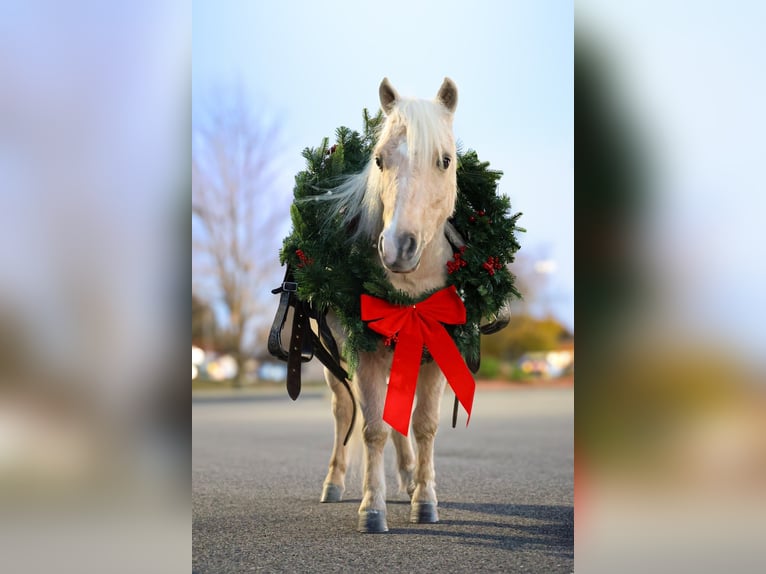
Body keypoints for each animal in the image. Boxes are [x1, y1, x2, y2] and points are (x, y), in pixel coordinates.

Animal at [319, 77, 462, 533]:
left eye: (444, 161)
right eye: (379, 160)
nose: (398, 247)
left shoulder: (437, 354)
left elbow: (424, 424)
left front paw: (425, 499)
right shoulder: (364, 354)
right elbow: (373, 428)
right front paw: (372, 507)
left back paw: (409, 477)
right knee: (344, 411)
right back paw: (335, 482)